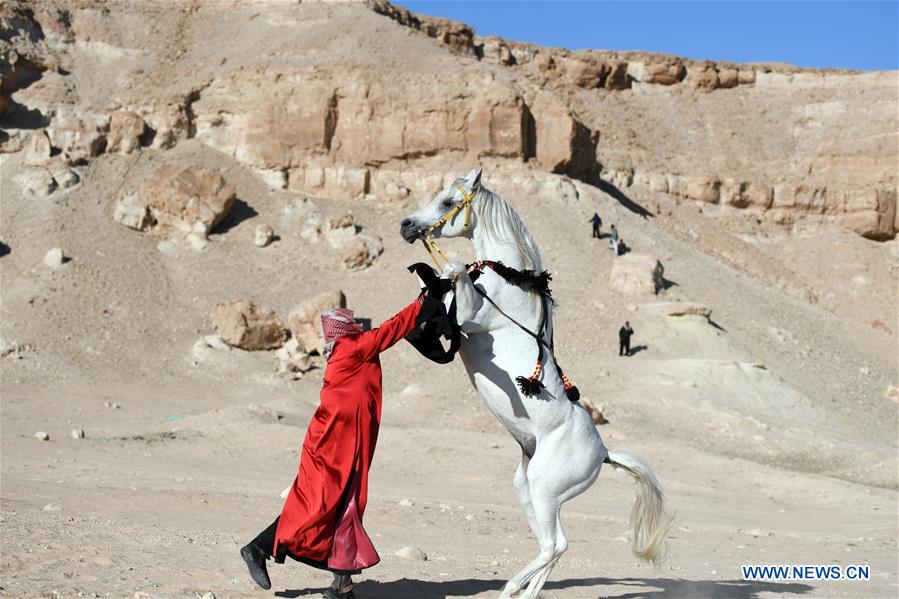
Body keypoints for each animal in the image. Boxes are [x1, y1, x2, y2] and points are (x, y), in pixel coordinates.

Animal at [399, 169, 671, 598]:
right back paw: (524, 591)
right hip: (531, 488)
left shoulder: (472, 315)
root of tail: (604, 453)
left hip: (545, 489)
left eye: (447, 202)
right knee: (554, 544)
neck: (507, 276)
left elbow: (456, 275)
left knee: (555, 545)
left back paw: (511, 587)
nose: (407, 226)